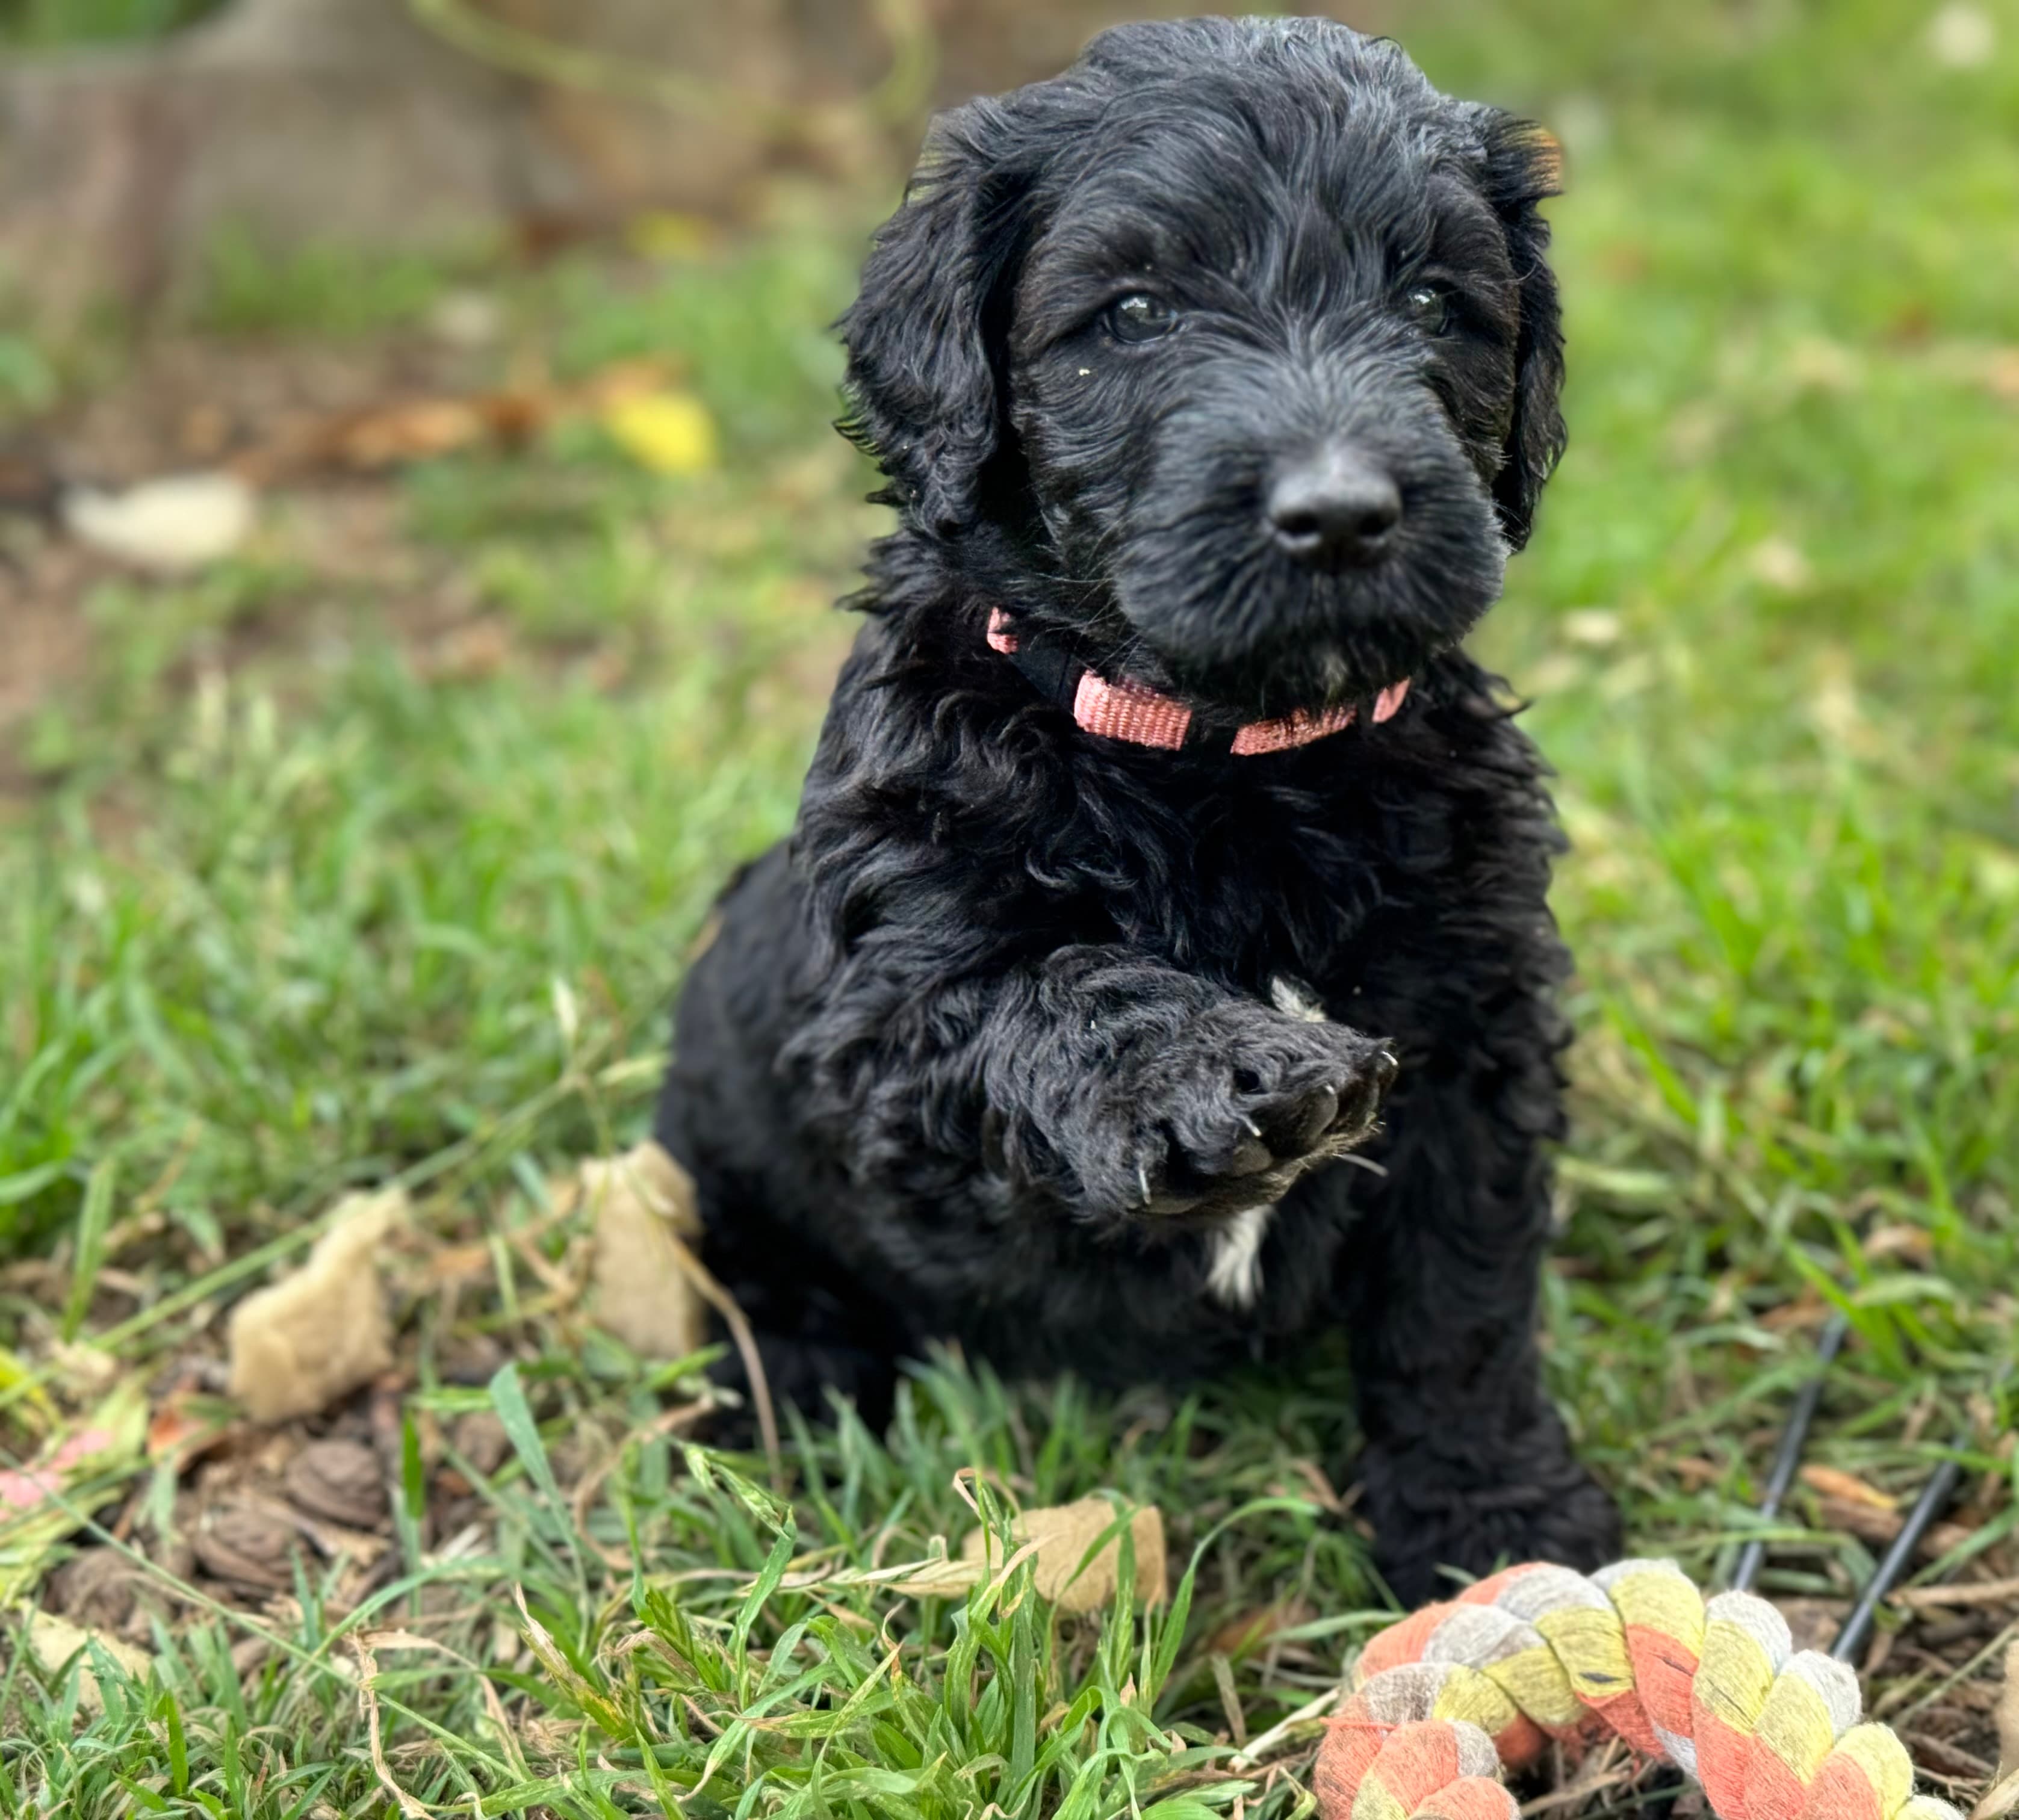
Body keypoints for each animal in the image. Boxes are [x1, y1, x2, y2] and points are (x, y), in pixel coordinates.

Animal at [662, 21, 1623, 1606]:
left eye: (1433, 298)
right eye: (1132, 313)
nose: (1342, 514)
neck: (1230, 759)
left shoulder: (1479, 1030)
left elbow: (1461, 1299)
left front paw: (1490, 1517)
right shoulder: (890, 1020)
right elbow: (1044, 984)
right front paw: (1216, 1067)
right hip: (724, 1129)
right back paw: (785, 1394)